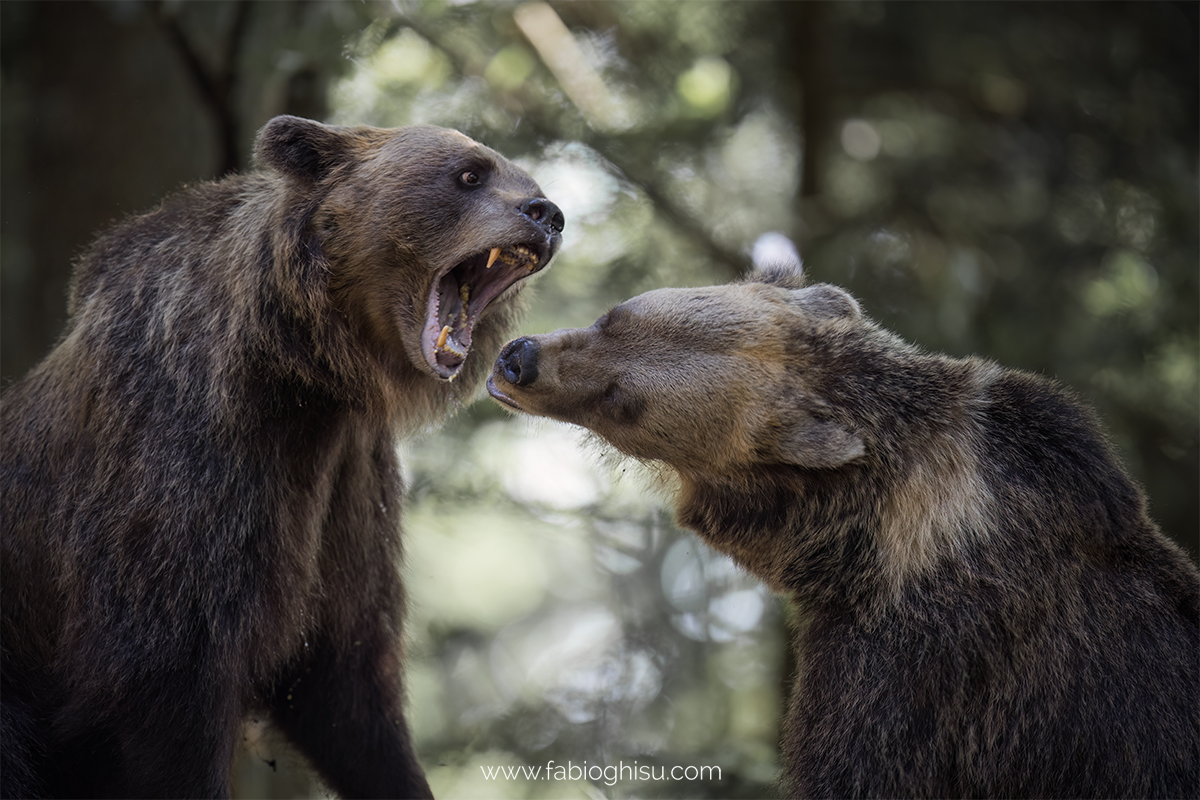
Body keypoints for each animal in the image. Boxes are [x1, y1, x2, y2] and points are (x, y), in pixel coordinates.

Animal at [1, 113, 561, 800]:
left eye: (526, 180)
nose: (547, 213)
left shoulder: (343, 484)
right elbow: (166, 684)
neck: (297, 371)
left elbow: (345, 680)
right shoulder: (183, 469)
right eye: (469, 173)